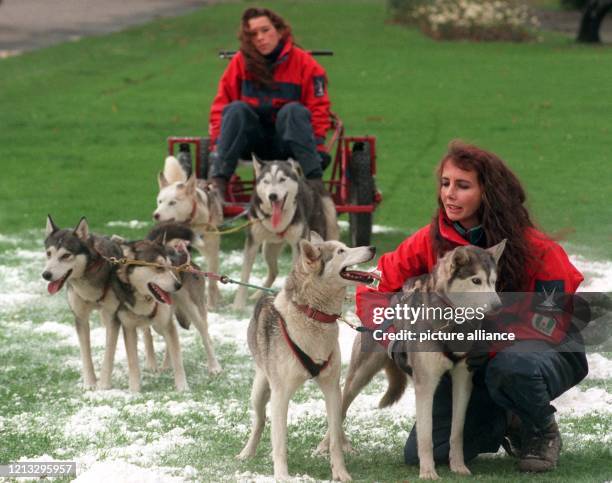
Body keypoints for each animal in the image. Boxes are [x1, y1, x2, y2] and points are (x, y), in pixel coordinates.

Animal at [43, 217, 123, 392]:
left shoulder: (113, 316)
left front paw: (104, 385)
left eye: (66, 255)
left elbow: (109, 352)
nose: (46, 275)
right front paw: (90, 384)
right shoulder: (80, 317)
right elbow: (85, 353)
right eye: (49, 253)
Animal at [154, 159, 224, 310]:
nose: (155, 215)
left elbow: (212, 280)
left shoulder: (212, 248)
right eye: (160, 201)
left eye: (172, 202)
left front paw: (211, 305)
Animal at [233, 158, 340, 310]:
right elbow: (245, 274)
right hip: (268, 249)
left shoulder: (298, 245)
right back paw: (258, 294)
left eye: (282, 179)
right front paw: (238, 304)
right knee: (274, 272)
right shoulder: (252, 242)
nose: (272, 196)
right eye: (266, 181)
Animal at [238, 233, 372, 482]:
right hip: (260, 390)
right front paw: (282, 475)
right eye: (340, 252)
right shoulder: (280, 394)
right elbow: (280, 441)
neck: (313, 314)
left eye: (346, 247)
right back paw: (247, 452)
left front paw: (340, 472)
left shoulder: (332, 389)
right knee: (260, 421)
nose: (372, 248)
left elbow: (335, 436)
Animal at [320, 242, 506, 480]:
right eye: (476, 280)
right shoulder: (425, 384)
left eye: (493, 281)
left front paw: (458, 466)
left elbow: (457, 432)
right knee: (340, 409)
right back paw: (325, 447)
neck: (452, 325)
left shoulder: (463, 379)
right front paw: (427, 472)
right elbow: (425, 436)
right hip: (359, 376)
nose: (498, 306)